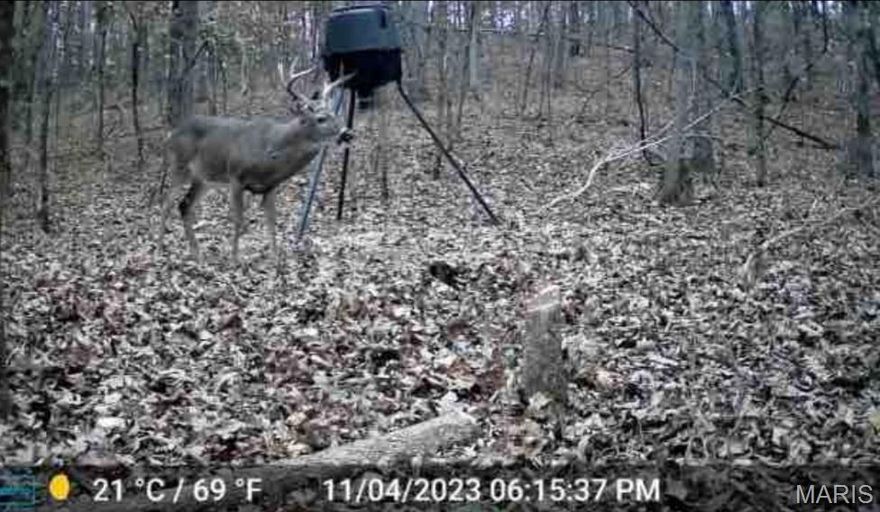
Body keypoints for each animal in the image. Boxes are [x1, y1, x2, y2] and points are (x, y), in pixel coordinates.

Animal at [159, 68, 353, 263]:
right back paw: (159, 247)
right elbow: (239, 220)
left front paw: (275, 259)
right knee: (167, 204)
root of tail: (171, 134)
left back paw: (196, 253)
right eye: (321, 119)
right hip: (179, 166)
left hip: (204, 179)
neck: (271, 152)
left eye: (335, 114)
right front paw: (235, 259)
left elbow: (271, 221)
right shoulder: (236, 177)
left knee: (184, 205)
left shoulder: (270, 186)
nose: (347, 134)